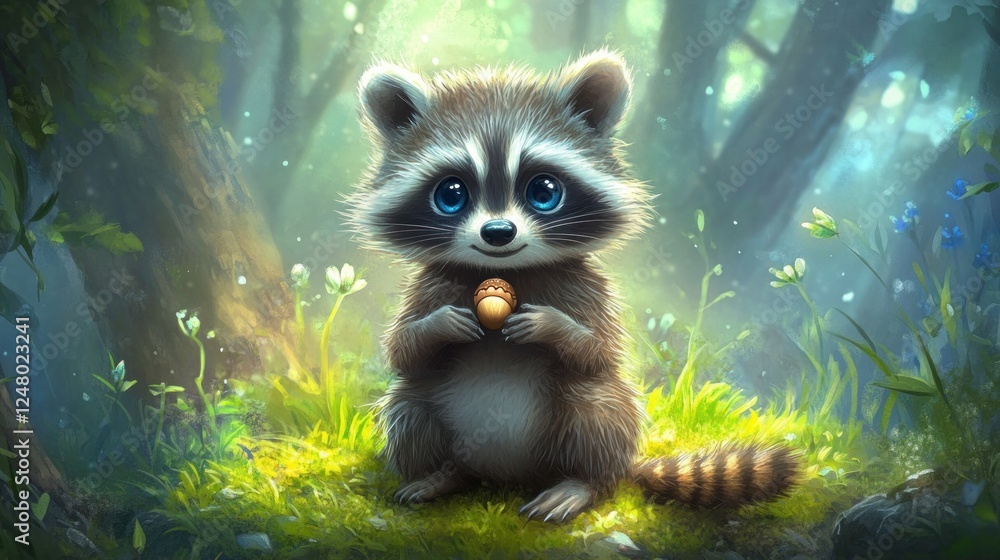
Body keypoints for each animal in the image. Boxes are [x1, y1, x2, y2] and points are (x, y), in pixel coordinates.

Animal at [350, 50, 798, 522]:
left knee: (598, 403)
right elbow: (402, 349)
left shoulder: (588, 286)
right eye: (451, 194)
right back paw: (440, 474)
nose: (498, 232)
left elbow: (602, 353)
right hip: (439, 421)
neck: (507, 271)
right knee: (409, 402)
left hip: (586, 431)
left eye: (544, 191)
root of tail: (503, 475)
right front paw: (440, 324)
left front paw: (553, 326)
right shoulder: (429, 283)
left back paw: (582, 482)